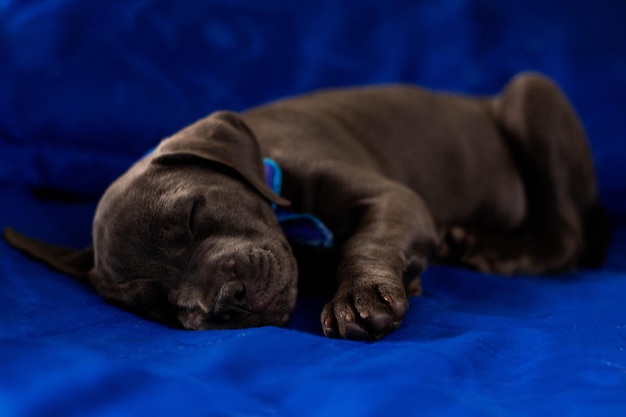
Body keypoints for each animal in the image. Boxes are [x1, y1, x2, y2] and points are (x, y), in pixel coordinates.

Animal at [2, 72, 608, 338]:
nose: (223, 304)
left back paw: (498, 252)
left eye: (194, 214)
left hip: (532, 95)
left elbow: (366, 239)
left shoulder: (394, 198)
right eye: (152, 303)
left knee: (565, 235)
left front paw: (360, 296)